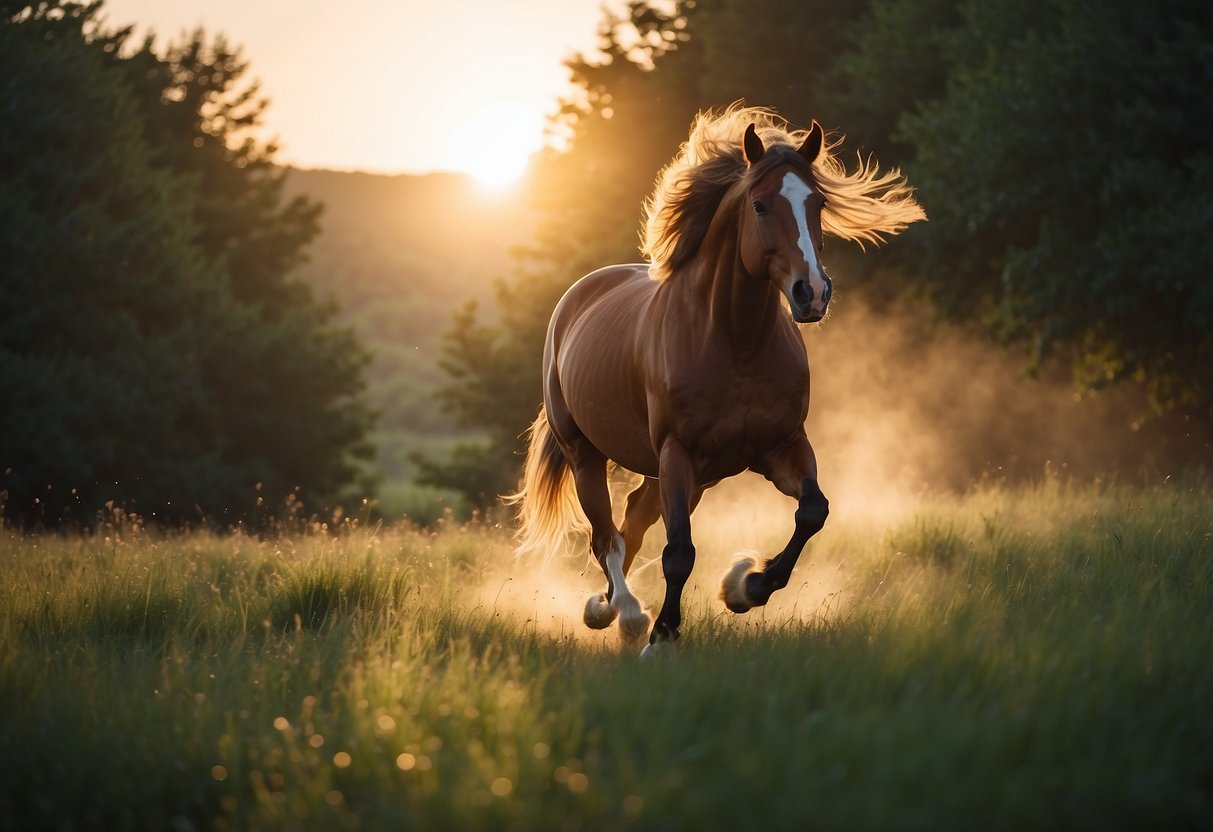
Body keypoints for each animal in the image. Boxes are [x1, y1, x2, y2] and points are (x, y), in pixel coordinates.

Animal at [509, 104, 917, 654]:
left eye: (819, 203)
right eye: (760, 205)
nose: (812, 293)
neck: (735, 343)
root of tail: (577, 298)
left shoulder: (780, 446)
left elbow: (813, 511)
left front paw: (746, 586)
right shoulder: (678, 452)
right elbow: (679, 552)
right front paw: (662, 638)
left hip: (686, 475)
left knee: (632, 521)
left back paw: (609, 608)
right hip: (588, 455)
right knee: (606, 536)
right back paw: (624, 614)